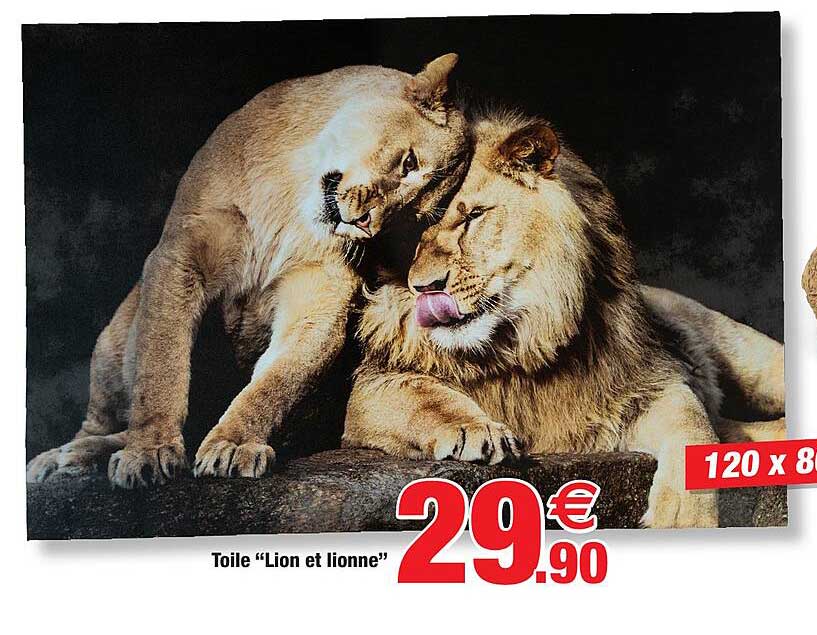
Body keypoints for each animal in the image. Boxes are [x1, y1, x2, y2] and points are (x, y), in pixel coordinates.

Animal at [26, 54, 471, 488]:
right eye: (409, 162)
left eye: (408, 217)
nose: (365, 224)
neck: (291, 194)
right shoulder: (180, 255)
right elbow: (160, 364)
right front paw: (149, 450)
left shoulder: (321, 294)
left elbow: (277, 382)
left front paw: (233, 445)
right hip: (112, 340)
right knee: (99, 420)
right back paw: (60, 458)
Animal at [343, 112, 785, 528]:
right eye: (410, 235)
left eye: (473, 216)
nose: (424, 287)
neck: (522, 339)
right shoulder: (369, 389)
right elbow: (420, 395)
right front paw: (478, 430)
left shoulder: (645, 386)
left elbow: (694, 425)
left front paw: (683, 519)